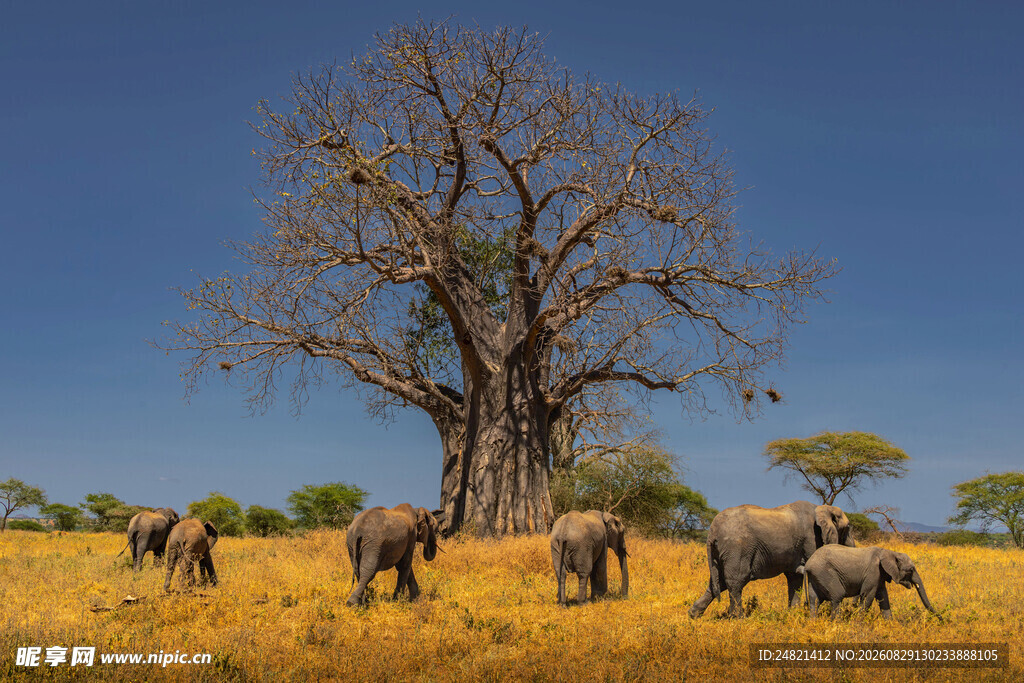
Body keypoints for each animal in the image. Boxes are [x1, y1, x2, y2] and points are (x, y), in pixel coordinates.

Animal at [688, 500, 854, 618]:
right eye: (847, 528)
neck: (822, 507)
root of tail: (712, 531)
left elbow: (795, 578)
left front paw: (793, 615)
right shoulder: (811, 538)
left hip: (721, 551)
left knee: (718, 582)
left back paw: (693, 615)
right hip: (737, 548)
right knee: (736, 580)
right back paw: (738, 618)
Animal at [798, 545, 938, 619]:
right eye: (910, 570)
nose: (941, 619)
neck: (889, 552)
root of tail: (808, 564)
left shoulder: (880, 575)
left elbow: (883, 597)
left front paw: (890, 624)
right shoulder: (873, 572)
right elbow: (867, 596)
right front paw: (858, 624)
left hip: (816, 577)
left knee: (814, 600)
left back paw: (813, 621)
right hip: (826, 574)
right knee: (837, 596)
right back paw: (835, 622)